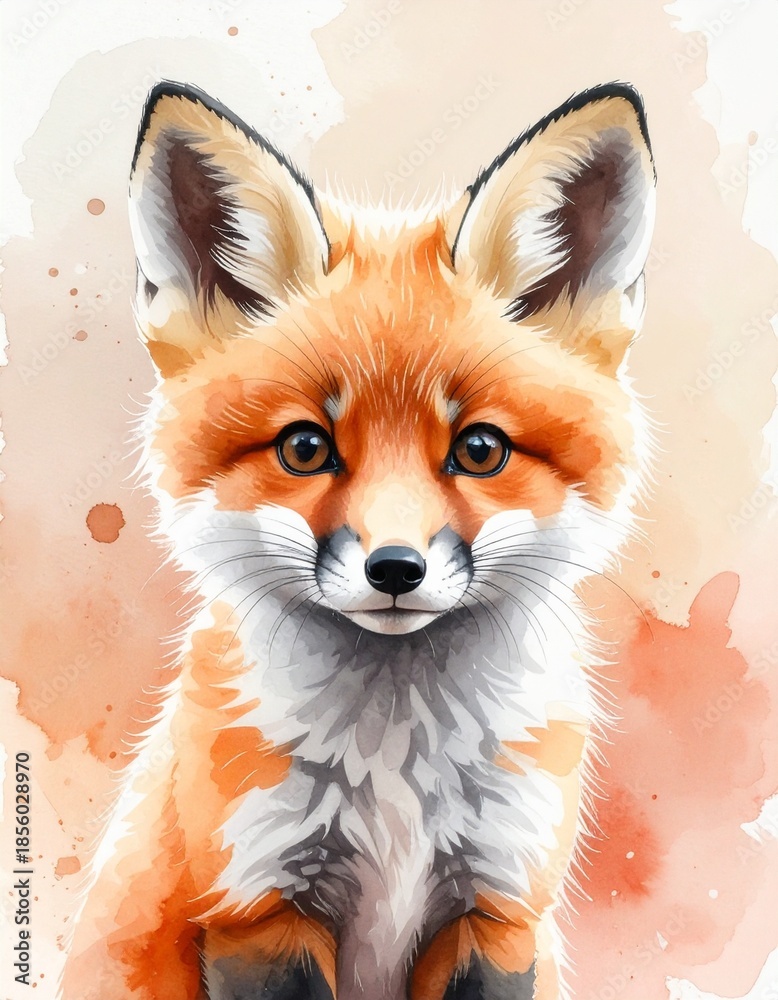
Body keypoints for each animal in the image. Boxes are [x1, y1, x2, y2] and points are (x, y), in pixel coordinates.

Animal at [60, 80, 655, 1000]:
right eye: (306, 447)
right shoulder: (256, 906)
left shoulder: (497, 911)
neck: (396, 776)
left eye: (480, 450)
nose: (396, 568)